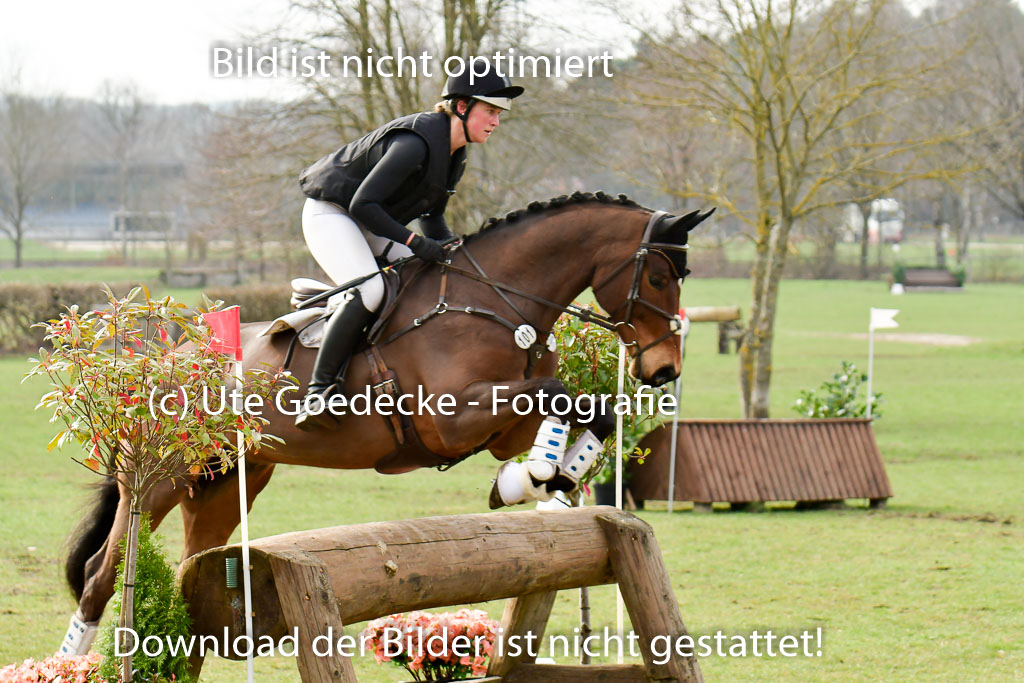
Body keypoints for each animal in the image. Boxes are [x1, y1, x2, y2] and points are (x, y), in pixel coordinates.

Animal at [59, 191, 712, 652]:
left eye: (680, 278)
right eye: (658, 277)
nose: (662, 370)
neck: (495, 301)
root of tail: (160, 360)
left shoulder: (505, 427)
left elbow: (585, 408)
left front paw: (543, 479)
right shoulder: (452, 419)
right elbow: (556, 394)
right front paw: (535, 479)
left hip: (223, 482)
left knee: (193, 572)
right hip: (162, 477)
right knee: (100, 575)